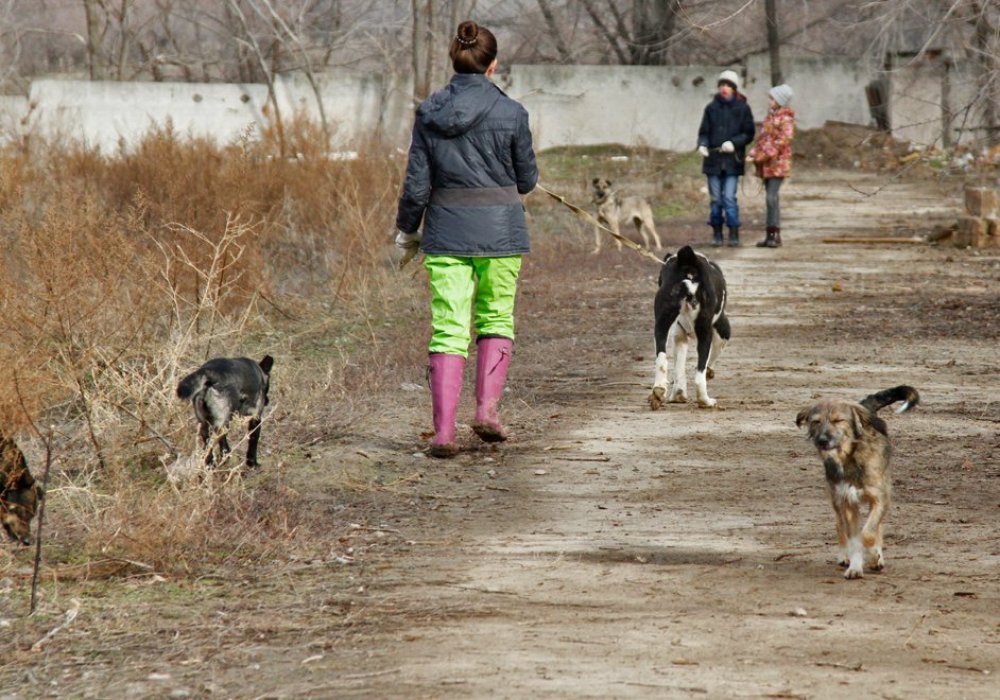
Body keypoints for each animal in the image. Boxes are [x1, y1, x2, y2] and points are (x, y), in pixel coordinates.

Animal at [644, 246, 732, 410]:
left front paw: (678, 395)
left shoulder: (679, 336)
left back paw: (659, 391)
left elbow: (679, 369)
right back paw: (706, 401)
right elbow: (712, 356)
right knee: (699, 374)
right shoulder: (722, 330)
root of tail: (688, 266)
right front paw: (709, 372)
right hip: (705, 332)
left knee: (661, 359)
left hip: (661, 325)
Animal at [800, 386, 916, 576]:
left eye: (838, 420)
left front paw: (874, 556)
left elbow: (868, 534)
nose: (822, 440)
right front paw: (855, 566)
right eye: (816, 421)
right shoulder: (847, 502)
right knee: (839, 526)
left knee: (877, 529)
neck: (850, 458)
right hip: (835, 499)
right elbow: (854, 539)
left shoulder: (880, 499)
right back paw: (844, 556)